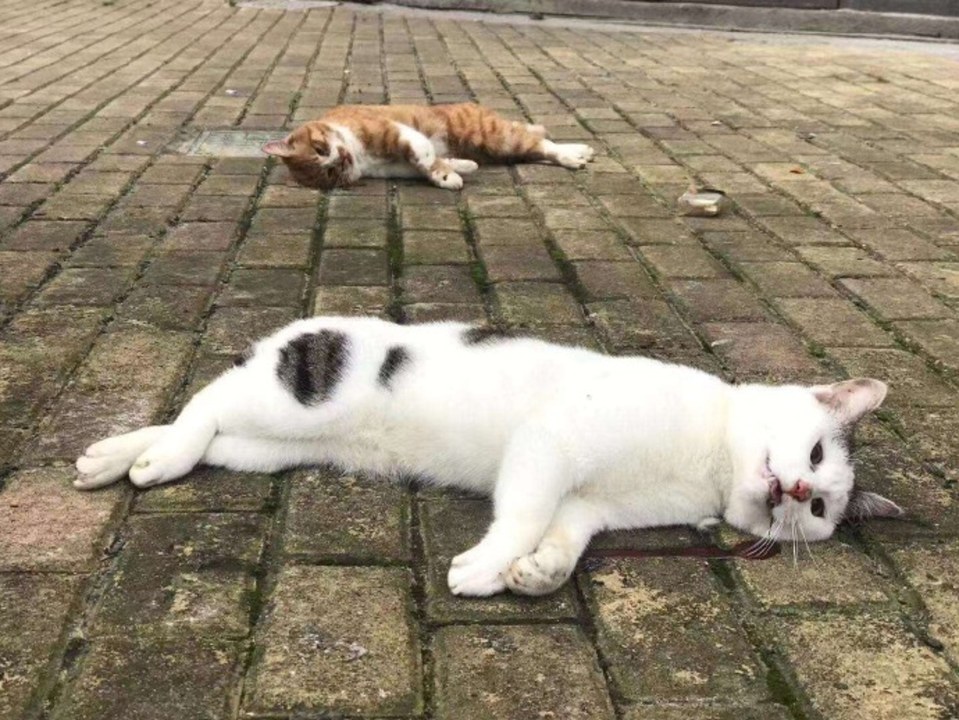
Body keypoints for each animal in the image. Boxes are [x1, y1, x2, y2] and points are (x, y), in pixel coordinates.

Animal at [73, 316, 900, 596]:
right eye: (814, 452)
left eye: (819, 508)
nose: (790, 490)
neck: (708, 465)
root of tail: (294, 329)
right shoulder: (551, 442)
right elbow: (524, 513)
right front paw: (482, 568)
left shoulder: (591, 505)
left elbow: (563, 535)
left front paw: (535, 574)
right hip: (294, 399)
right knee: (206, 401)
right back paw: (154, 461)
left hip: (270, 449)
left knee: (208, 432)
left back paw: (116, 458)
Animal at [262, 102, 592, 191]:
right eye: (329, 174)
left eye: (320, 148)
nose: (340, 157)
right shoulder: (398, 167)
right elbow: (431, 164)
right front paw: (456, 169)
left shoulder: (397, 132)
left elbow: (423, 154)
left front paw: (447, 174)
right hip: (497, 147)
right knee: (531, 144)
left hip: (493, 137)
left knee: (540, 143)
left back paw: (572, 154)